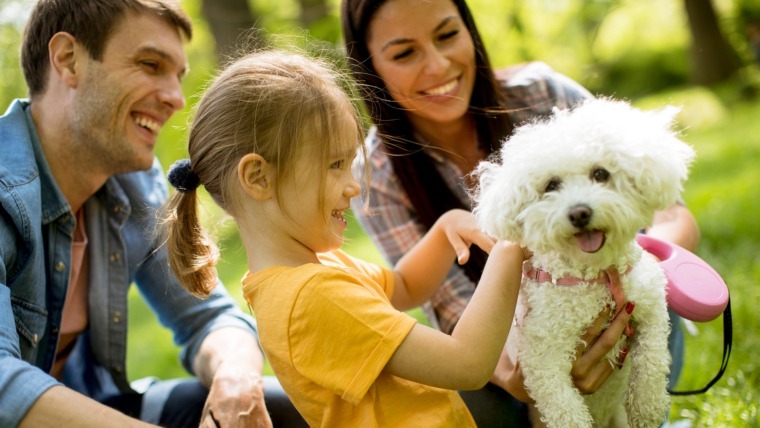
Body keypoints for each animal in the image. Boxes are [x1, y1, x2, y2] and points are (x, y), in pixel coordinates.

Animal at [476, 98, 696, 426]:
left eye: (600, 174)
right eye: (551, 185)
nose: (579, 213)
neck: (598, 276)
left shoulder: (650, 306)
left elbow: (652, 358)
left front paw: (647, 405)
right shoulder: (543, 357)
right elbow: (564, 407)